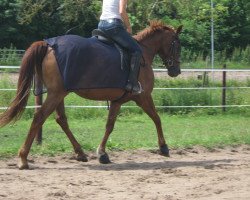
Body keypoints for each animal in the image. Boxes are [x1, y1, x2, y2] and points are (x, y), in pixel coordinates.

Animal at [0, 21, 182, 169]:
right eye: (177, 45)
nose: (176, 71)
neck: (143, 52)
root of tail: (48, 44)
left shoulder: (117, 101)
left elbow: (109, 125)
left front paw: (102, 154)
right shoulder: (143, 97)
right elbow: (156, 118)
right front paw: (163, 147)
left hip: (58, 94)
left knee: (61, 120)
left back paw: (80, 153)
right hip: (56, 94)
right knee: (39, 117)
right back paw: (23, 158)